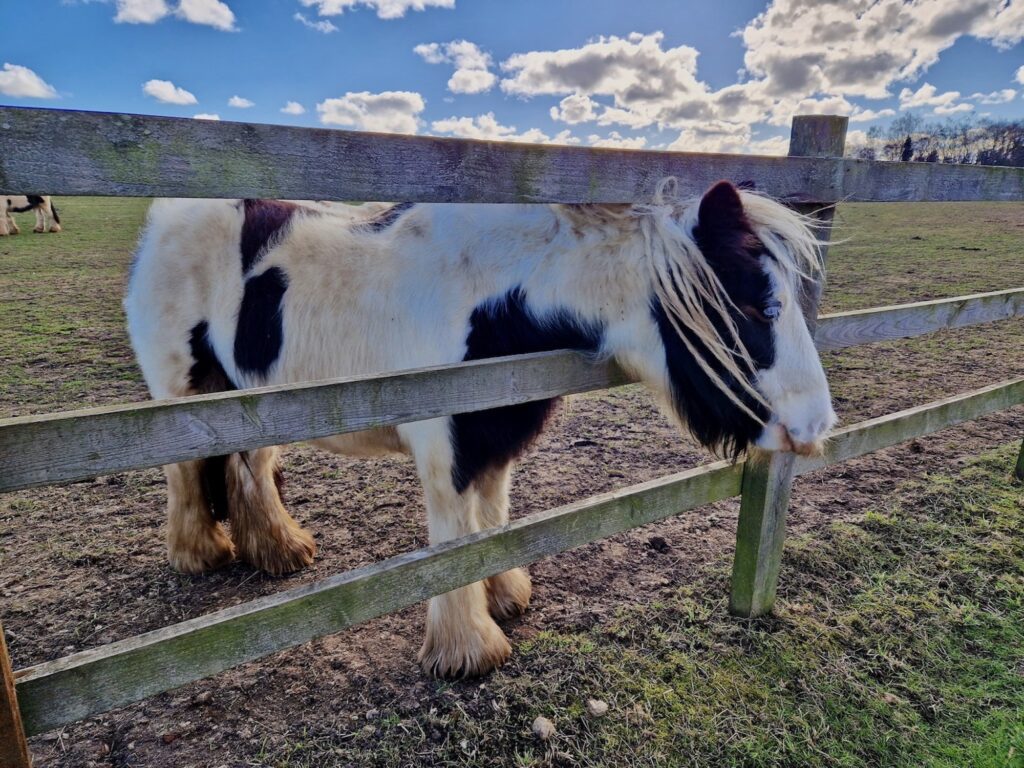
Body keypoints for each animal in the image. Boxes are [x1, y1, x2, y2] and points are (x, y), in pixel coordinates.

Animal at [125, 180, 831, 679]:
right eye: (756, 306)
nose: (817, 426)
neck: (495, 298)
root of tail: (164, 221)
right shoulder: (448, 449)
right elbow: (456, 539)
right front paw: (469, 651)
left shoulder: (496, 438)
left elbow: (491, 519)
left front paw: (505, 596)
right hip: (181, 398)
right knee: (187, 473)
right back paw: (200, 551)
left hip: (249, 400)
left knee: (249, 466)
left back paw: (277, 550)